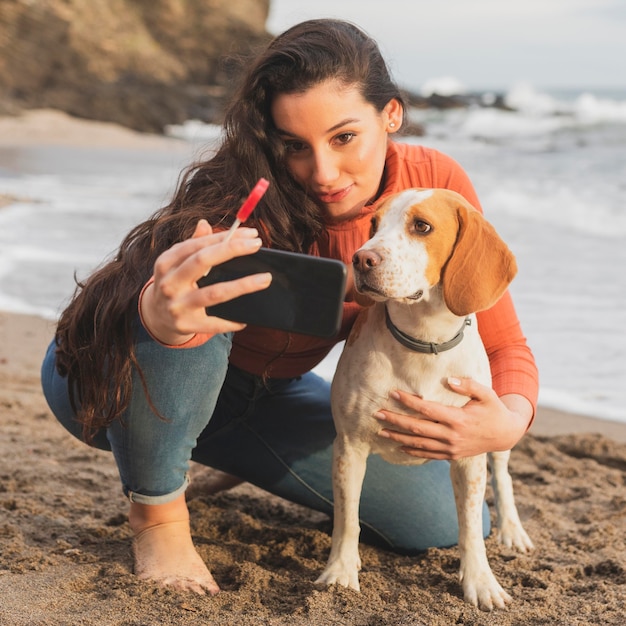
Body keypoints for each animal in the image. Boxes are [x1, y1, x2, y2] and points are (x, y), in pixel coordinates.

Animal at [316, 186, 532, 608]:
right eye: (373, 224)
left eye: (422, 226)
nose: (360, 259)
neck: (423, 340)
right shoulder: (349, 445)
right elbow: (348, 519)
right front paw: (341, 572)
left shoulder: (469, 451)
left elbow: (469, 526)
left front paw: (480, 581)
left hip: (497, 429)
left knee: (503, 476)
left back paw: (512, 531)